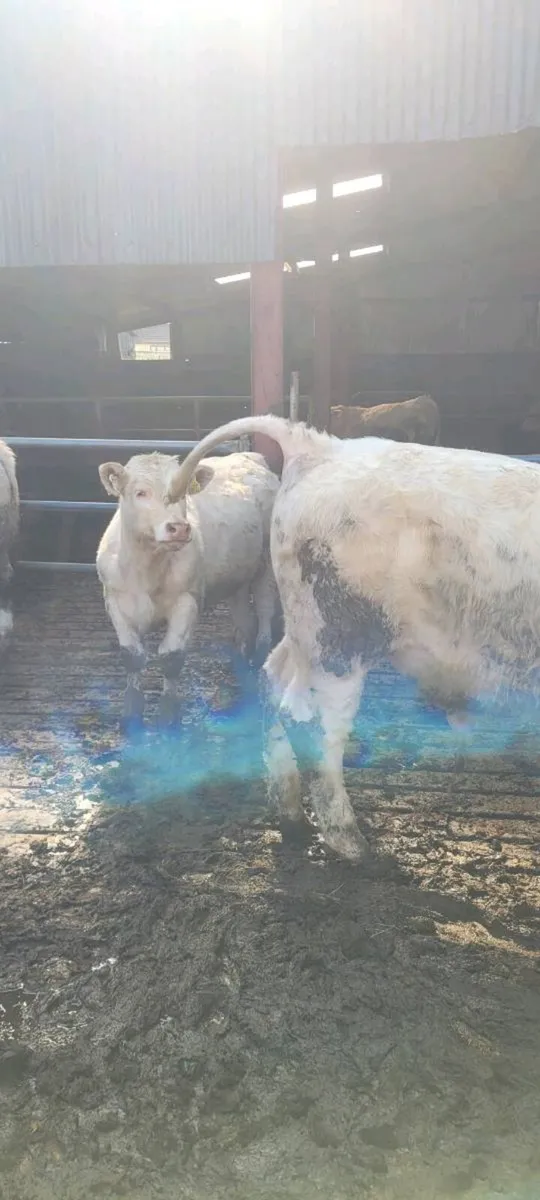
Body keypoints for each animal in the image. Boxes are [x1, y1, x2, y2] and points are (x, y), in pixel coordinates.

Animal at [97, 450, 279, 723]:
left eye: (183, 494)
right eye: (140, 492)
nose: (179, 528)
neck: (147, 571)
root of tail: (249, 456)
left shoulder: (187, 601)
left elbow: (171, 657)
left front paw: (168, 717)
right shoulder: (116, 601)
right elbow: (132, 656)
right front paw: (131, 711)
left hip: (266, 563)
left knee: (266, 611)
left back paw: (260, 657)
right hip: (237, 577)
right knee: (244, 620)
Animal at [167, 413, 540, 862]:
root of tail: (318, 447)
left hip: (305, 628)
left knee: (273, 680)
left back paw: (292, 820)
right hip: (338, 636)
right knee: (310, 721)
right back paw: (353, 845)